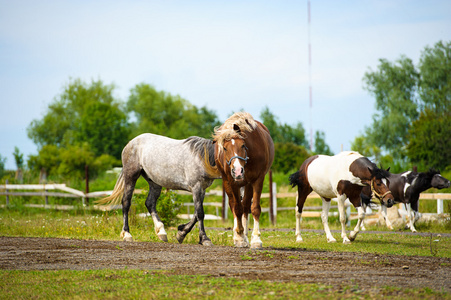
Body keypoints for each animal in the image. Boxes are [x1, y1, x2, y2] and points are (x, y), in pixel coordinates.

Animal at [212, 112, 276, 248]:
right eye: (224, 148)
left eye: (242, 145)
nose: (237, 171)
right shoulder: (232, 181)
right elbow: (237, 208)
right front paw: (240, 237)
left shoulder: (257, 179)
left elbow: (254, 208)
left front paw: (255, 239)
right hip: (227, 182)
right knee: (234, 205)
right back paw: (238, 235)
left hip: (248, 183)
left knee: (246, 205)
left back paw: (246, 235)